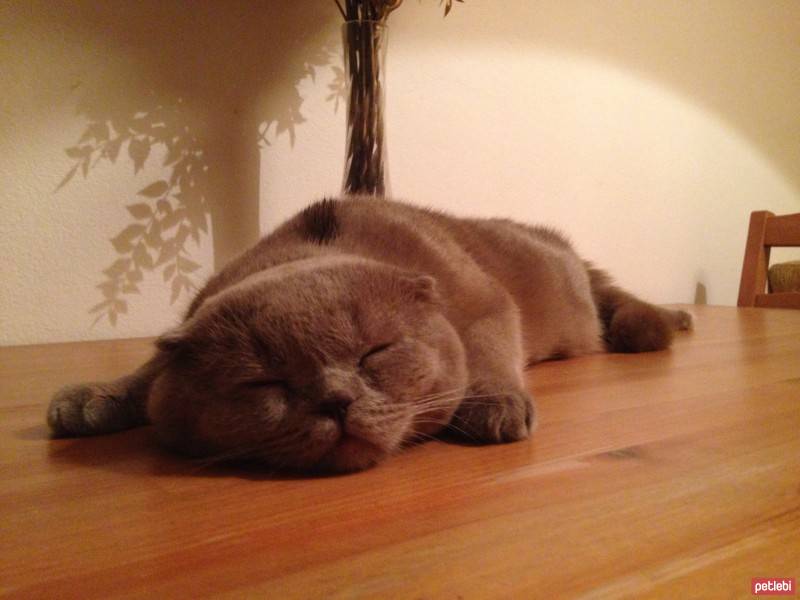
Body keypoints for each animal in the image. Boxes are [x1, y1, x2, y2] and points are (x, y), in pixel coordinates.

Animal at [47, 199, 692, 472]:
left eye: (375, 354)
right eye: (265, 383)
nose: (336, 400)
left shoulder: (488, 305)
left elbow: (487, 355)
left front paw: (493, 406)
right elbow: (148, 375)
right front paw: (90, 399)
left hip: (571, 293)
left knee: (614, 301)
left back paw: (658, 321)